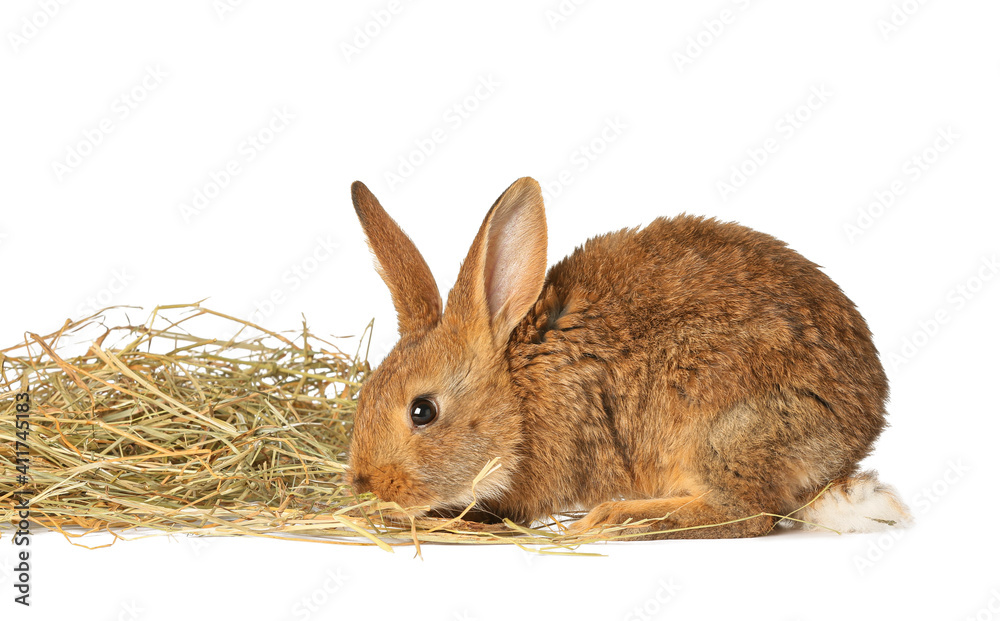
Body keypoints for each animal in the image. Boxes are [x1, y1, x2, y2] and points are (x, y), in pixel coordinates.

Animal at [346, 177, 911, 539]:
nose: (365, 484)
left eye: (422, 411)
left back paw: (614, 520)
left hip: (726, 433)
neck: (517, 390)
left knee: (746, 516)